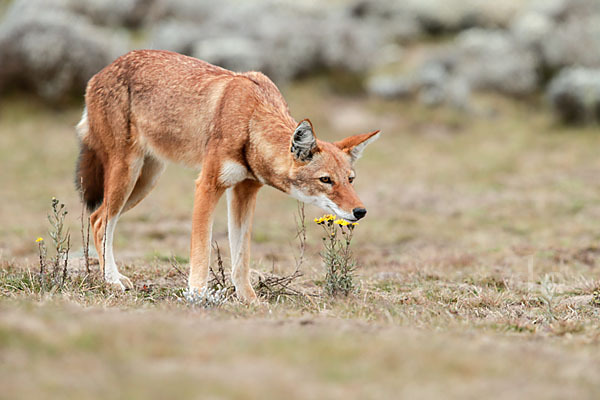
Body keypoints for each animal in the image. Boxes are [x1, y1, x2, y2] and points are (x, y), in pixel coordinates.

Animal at [76, 50, 380, 302]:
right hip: (127, 175)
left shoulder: (244, 191)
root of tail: (99, 73)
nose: (361, 211)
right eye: (326, 180)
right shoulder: (207, 186)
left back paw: (115, 277)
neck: (249, 122)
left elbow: (241, 258)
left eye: (350, 180)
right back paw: (111, 281)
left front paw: (250, 301)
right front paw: (197, 296)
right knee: (100, 220)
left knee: (99, 218)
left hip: (145, 182)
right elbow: (201, 251)